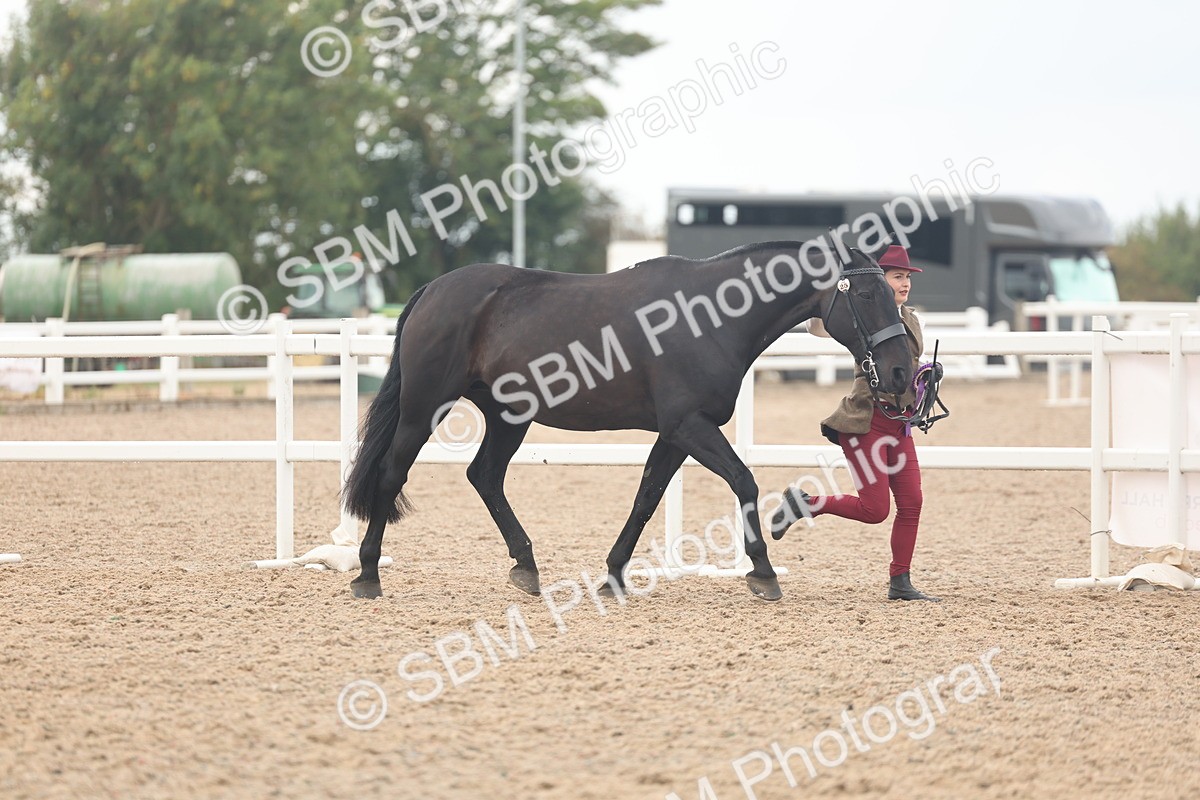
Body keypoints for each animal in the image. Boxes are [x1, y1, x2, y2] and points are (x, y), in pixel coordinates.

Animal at [341, 240, 912, 602]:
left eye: (892, 293)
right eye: (866, 295)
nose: (901, 371)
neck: (708, 316)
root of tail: (432, 291)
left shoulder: (677, 433)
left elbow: (647, 496)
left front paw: (613, 575)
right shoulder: (690, 425)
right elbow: (744, 481)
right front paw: (764, 572)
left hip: (508, 417)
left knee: (484, 476)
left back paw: (526, 566)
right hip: (424, 408)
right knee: (393, 475)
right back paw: (367, 573)